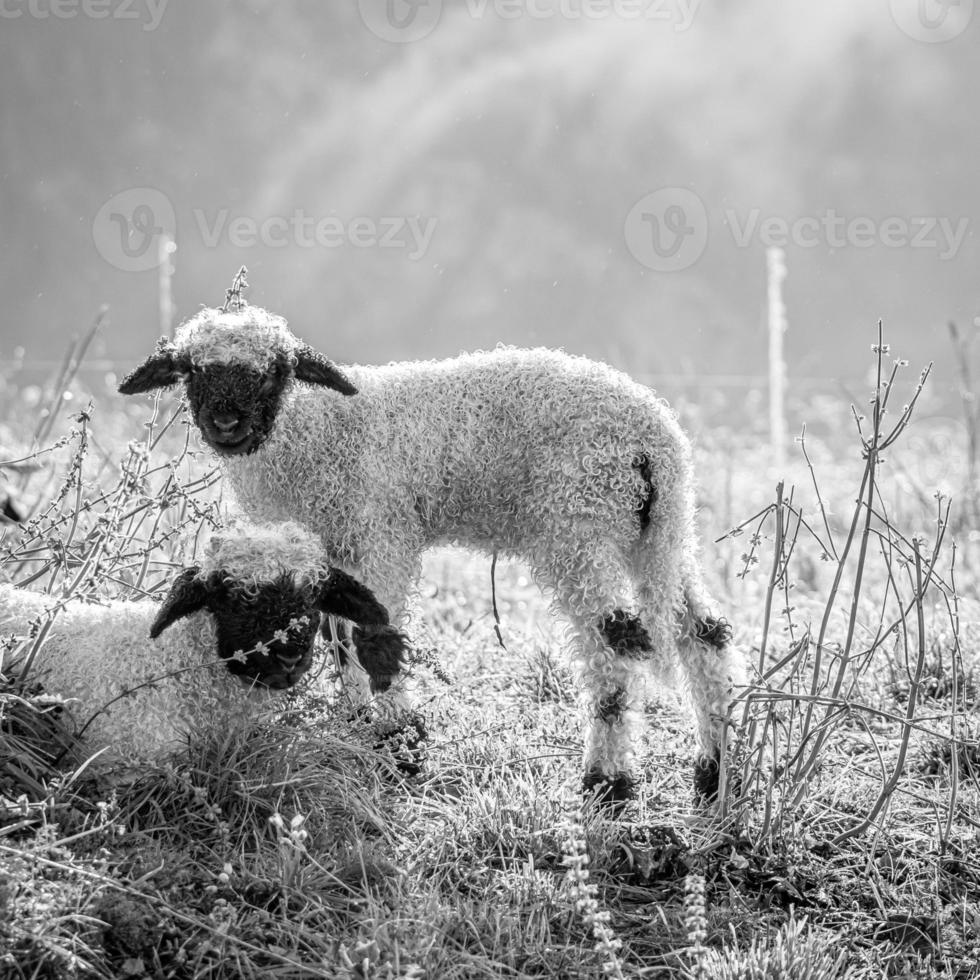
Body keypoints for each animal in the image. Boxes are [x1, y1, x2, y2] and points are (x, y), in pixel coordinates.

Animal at [118, 308, 748, 812]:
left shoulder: (380, 531)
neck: (311, 433)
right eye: (191, 370)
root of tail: (652, 440)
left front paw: (402, 744)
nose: (226, 424)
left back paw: (607, 784)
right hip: (661, 535)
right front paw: (360, 726)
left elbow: (372, 637)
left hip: (578, 525)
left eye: (276, 370)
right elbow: (338, 634)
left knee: (614, 645)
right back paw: (714, 775)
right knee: (703, 634)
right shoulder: (329, 551)